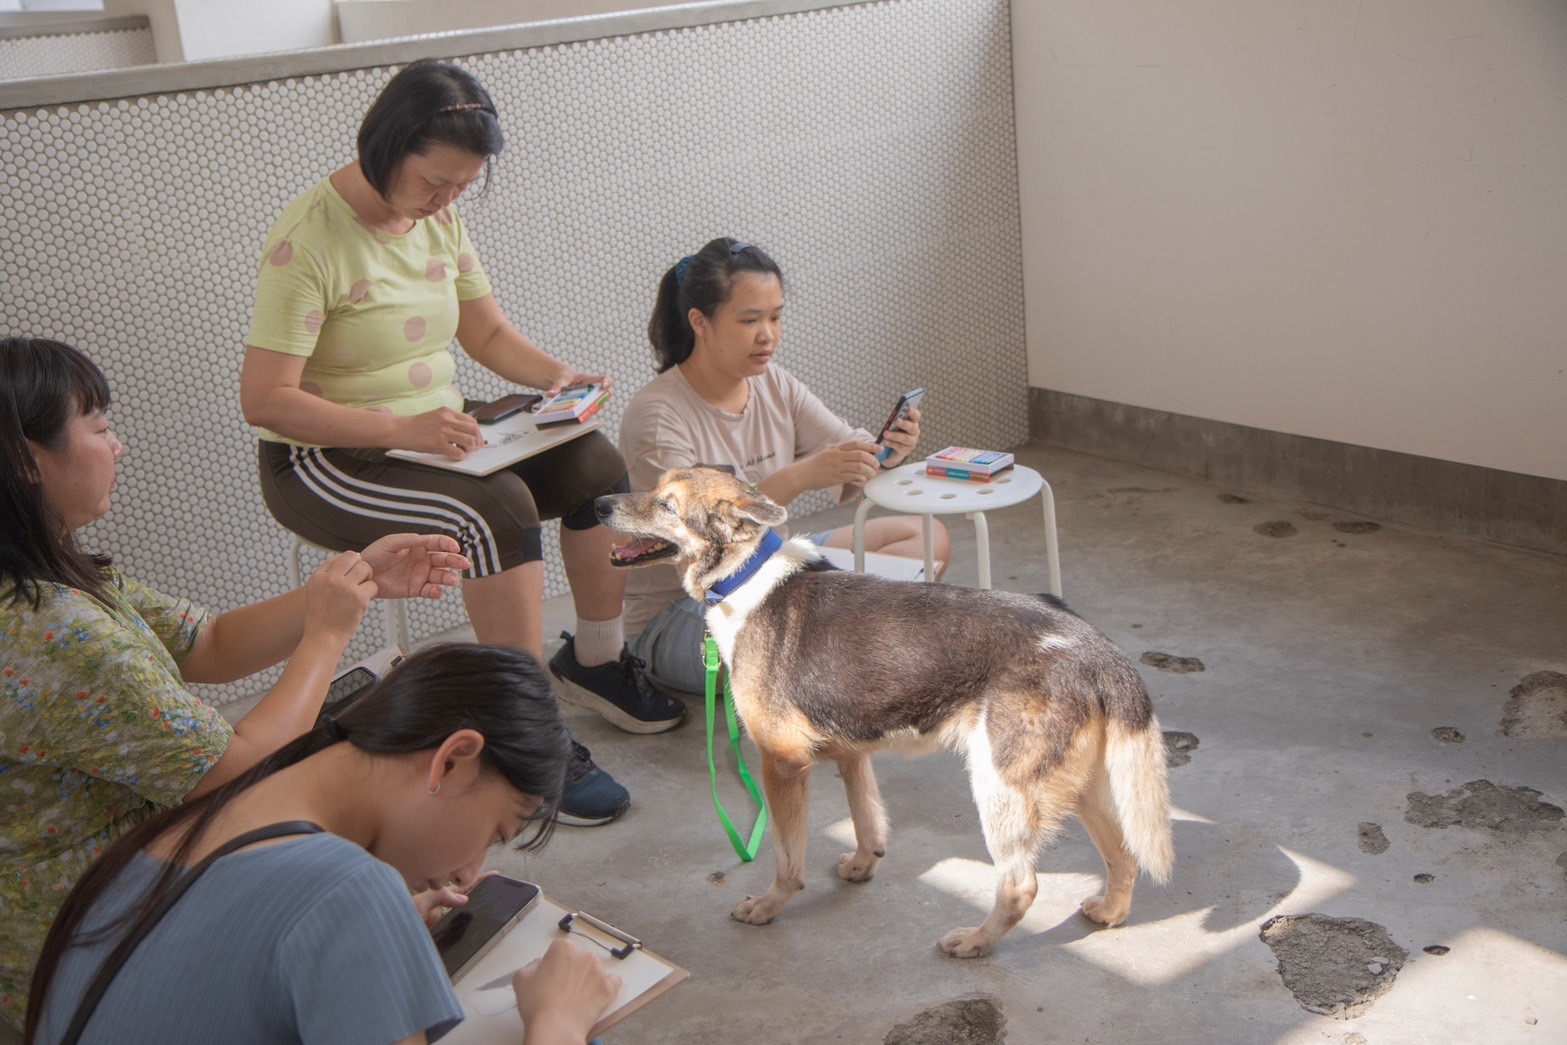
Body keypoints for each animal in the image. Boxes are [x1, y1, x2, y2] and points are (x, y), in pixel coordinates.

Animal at [592, 470, 1172, 958]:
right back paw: (1110, 912)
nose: (597, 504)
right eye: (655, 483)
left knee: (1021, 886)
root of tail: (1096, 647)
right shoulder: (852, 754)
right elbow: (868, 824)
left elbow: (787, 859)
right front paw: (860, 866)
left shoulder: (782, 765)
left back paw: (975, 942)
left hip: (1000, 788)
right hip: (1080, 786)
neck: (745, 576)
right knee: (1123, 854)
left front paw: (768, 906)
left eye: (666, 504)